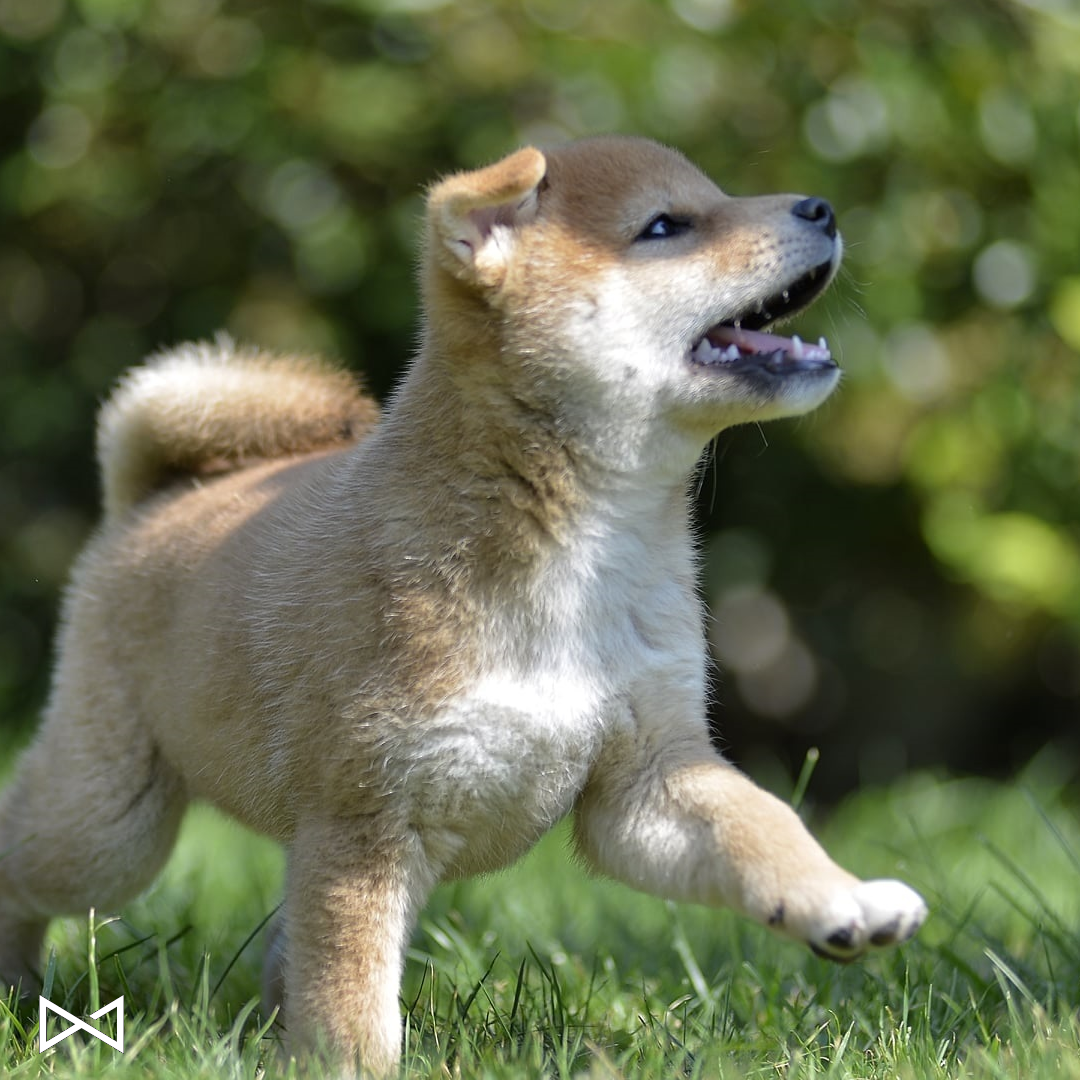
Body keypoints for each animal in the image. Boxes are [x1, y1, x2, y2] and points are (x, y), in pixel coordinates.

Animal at [2, 139, 928, 1075]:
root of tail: (156, 494)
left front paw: (840, 899)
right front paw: (356, 1071)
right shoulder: (366, 820)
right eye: (666, 225)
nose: (821, 208)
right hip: (110, 822)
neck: (586, 555)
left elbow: (763, 826)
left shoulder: (649, 778)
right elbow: (355, 1008)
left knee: (286, 946)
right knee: (28, 863)